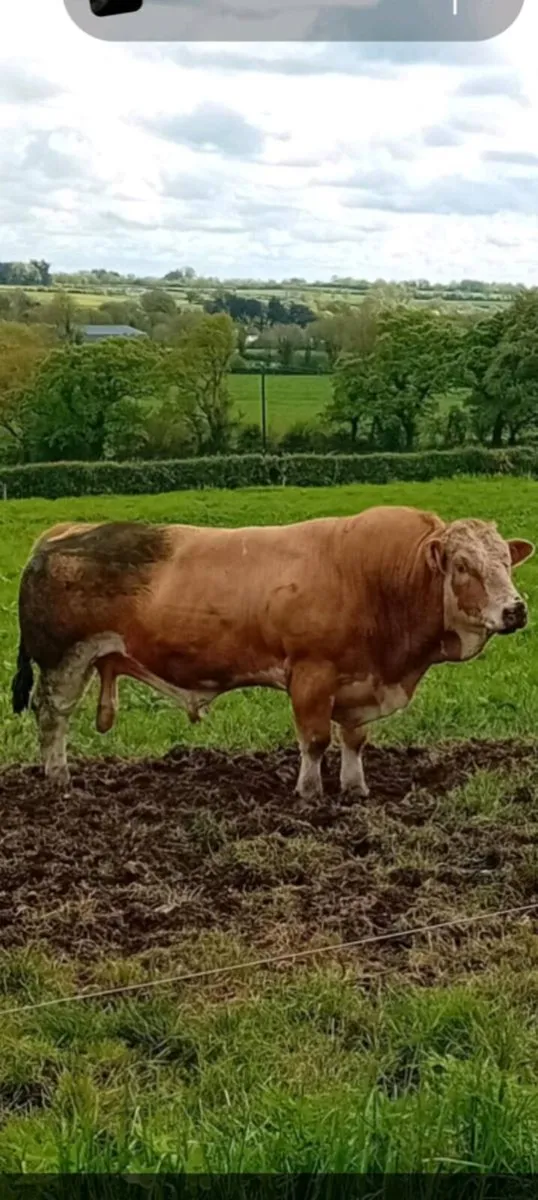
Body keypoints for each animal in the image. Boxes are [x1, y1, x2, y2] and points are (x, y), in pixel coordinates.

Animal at [10, 506, 534, 798]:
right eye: (463, 565)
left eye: (506, 562)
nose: (515, 609)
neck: (376, 579)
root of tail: (63, 532)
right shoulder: (311, 675)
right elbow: (315, 740)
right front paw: (309, 793)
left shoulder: (360, 682)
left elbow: (354, 740)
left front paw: (356, 788)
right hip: (64, 661)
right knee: (52, 716)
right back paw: (58, 778)